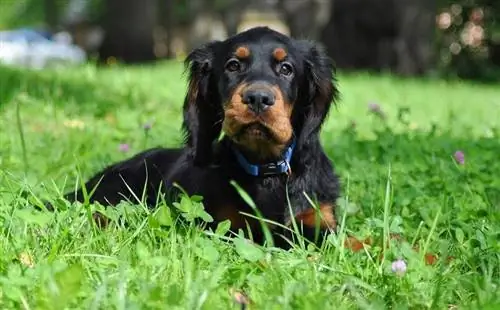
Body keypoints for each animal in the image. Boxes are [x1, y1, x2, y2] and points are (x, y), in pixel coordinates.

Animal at [56, 27, 342, 249]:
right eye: (233, 66)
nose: (258, 98)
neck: (266, 169)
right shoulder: (225, 226)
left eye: (286, 69)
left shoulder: (318, 218)